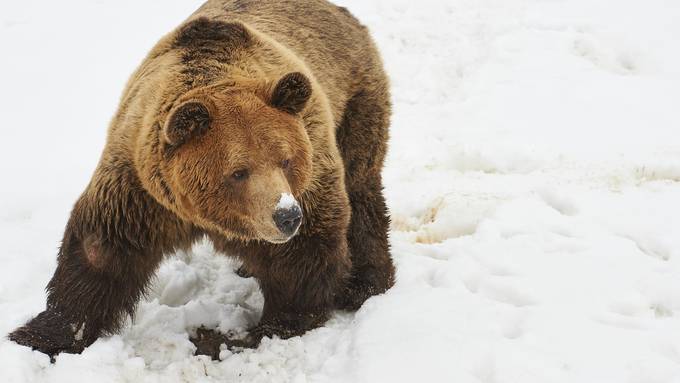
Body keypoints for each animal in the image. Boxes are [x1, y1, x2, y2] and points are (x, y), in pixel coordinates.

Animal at [9, 0, 394, 360]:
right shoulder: (141, 187)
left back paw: (364, 284)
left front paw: (244, 333)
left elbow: (301, 259)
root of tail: (340, 12)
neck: (202, 214)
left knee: (361, 189)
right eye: (238, 171)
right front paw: (38, 336)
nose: (287, 216)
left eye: (286, 160)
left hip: (354, 104)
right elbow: (100, 249)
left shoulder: (311, 168)